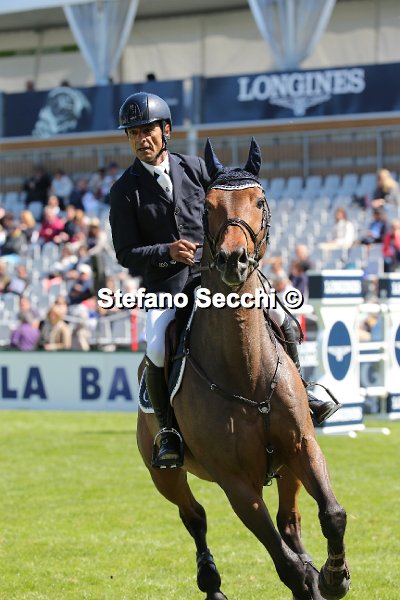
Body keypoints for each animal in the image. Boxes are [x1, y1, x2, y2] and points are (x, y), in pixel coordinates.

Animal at [136, 138, 351, 600]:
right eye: (208, 205)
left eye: (260, 201)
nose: (233, 260)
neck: (245, 372)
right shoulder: (236, 484)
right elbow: (287, 566)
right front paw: (317, 578)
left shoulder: (303, 445)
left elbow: (332, 514)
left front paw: (334, 575)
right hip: (163, 475)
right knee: (194, 517)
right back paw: (211, 583)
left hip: (286, 468)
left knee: (290, 523)